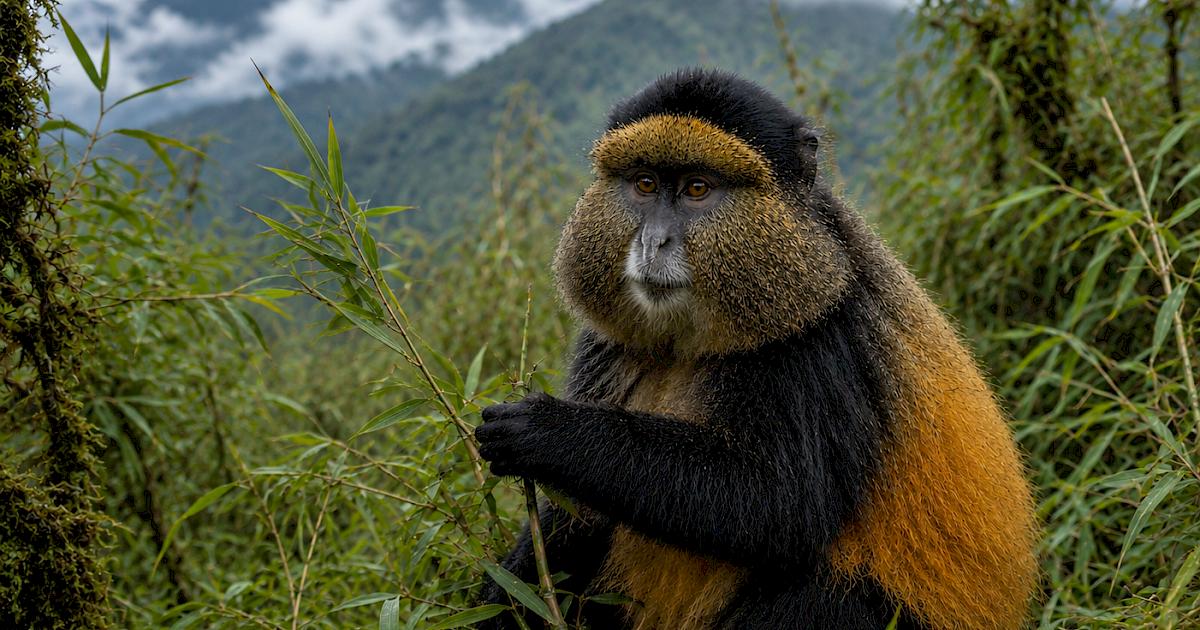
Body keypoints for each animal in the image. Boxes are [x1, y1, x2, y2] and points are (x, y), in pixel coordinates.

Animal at [474, 68, 1039, 630]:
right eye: (646, 184)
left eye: (698, 188)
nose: (653, 242)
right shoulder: (608, 342)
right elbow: (571, 523)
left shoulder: (817, 340)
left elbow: (782, 506)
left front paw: (546, 431)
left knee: (827, 597)